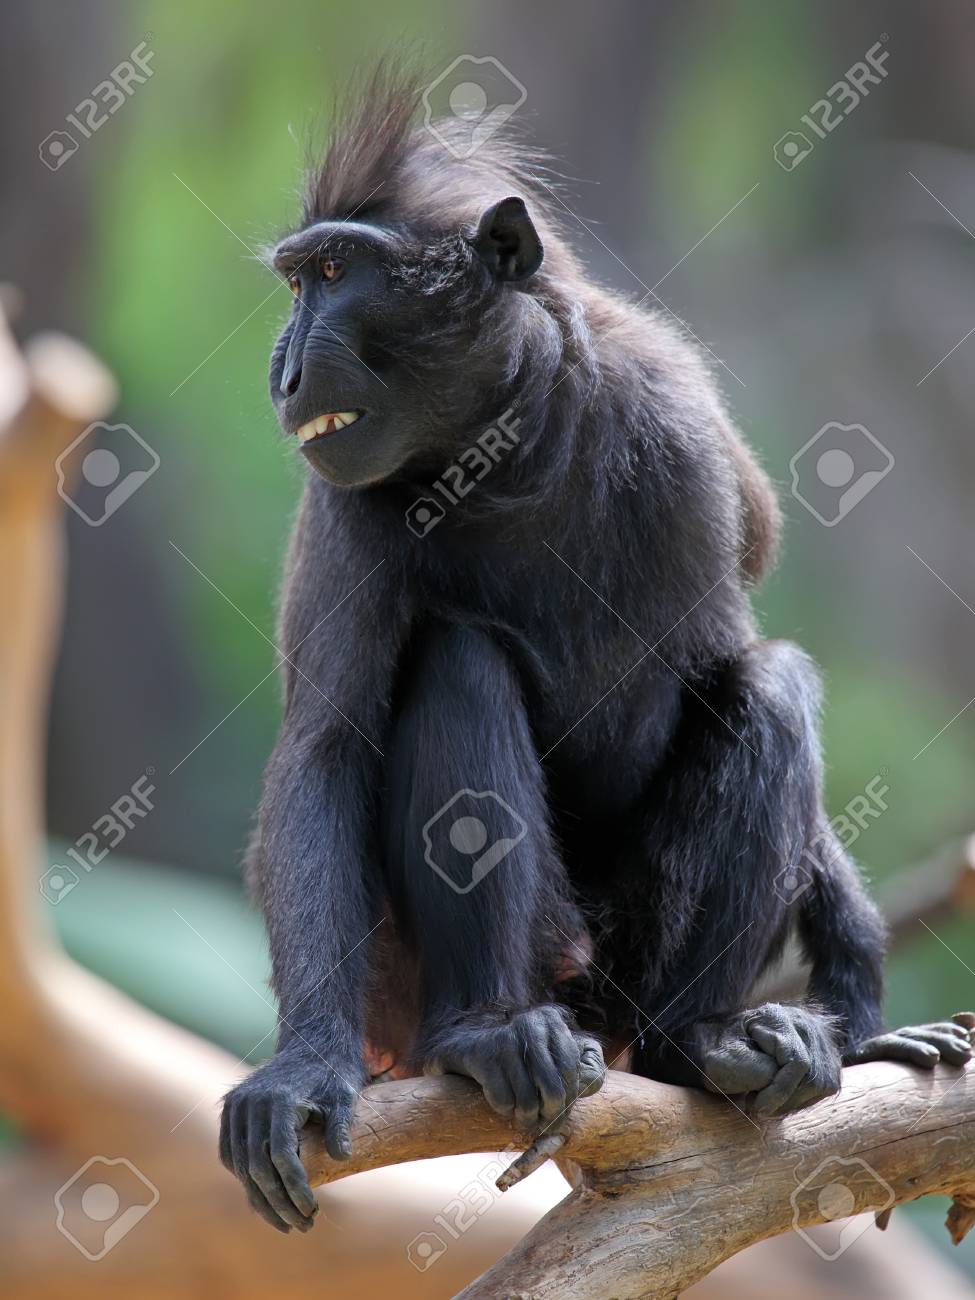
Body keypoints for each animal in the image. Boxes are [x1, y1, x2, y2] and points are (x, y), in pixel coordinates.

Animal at [219, 65, 973, 1233]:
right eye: (300, 278)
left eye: (335, 273)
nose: (285, 367)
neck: (510, 448)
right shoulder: (348, 503)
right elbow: (327, 748)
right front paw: (303, 1066)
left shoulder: (686, 446)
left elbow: (732, 656)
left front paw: (855, 1003)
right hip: (445, 966)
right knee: (459, 664)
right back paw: (488, 1036)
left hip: (634, 953)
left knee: (766, 683)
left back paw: (698, 1051)